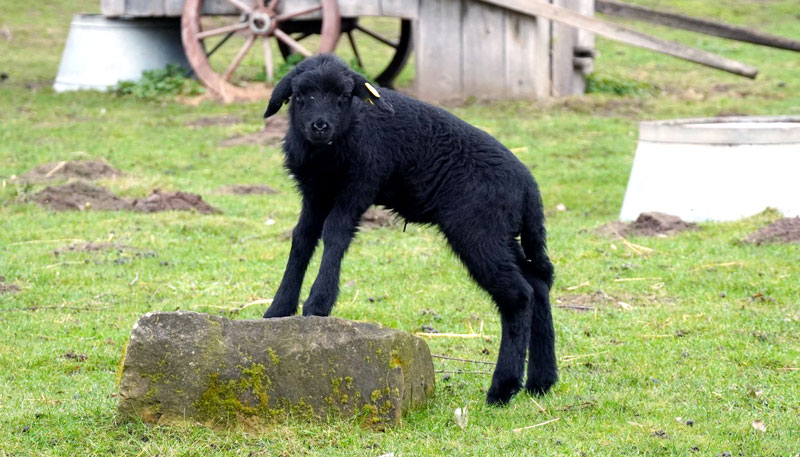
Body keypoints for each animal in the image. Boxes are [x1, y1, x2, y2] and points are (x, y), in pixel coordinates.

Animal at [262, 55, 556, 404]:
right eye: (300, 95)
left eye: (344, 96)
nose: (320, 126)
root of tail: (528, 187)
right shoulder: (314, 193)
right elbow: (302, 238)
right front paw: (278, 308)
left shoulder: (359, 184)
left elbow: (335, 234)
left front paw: (318, 304)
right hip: (503, 233)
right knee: (538, 284)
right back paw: (541, 381)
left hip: (479, 232)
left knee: (518, 295)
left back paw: (502, 389)